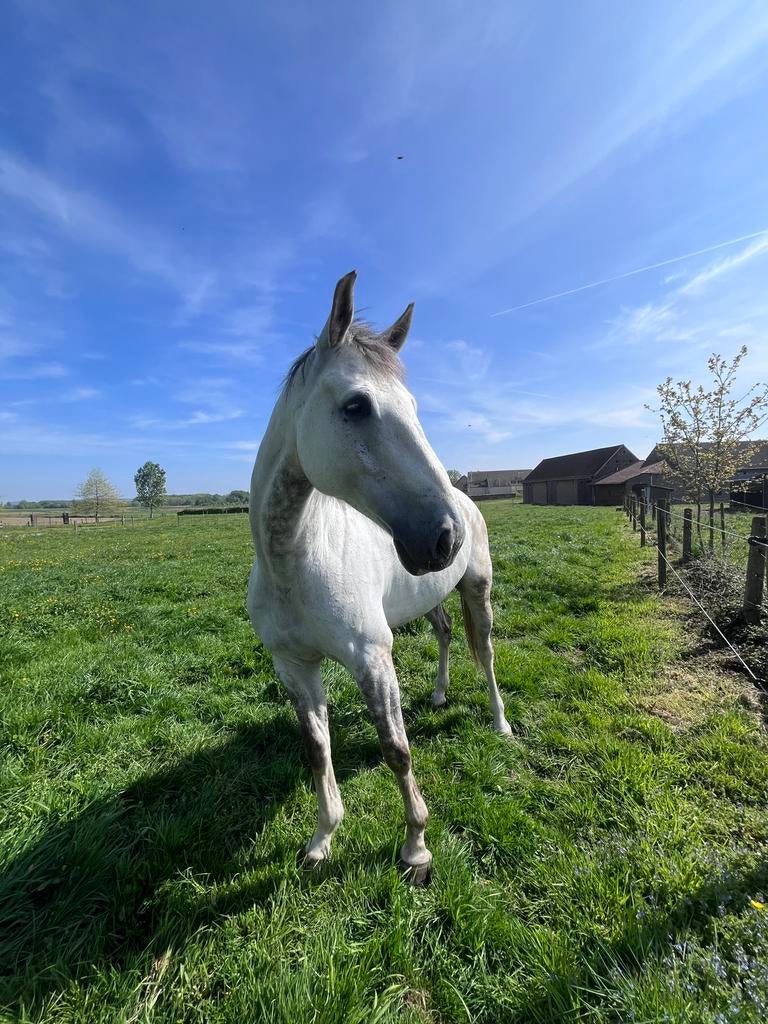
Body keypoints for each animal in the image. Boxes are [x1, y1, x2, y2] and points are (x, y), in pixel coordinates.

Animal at [247, 271, 512, 883]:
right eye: (356, 405)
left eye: (413, 406)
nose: (445, 536)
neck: (293, 562)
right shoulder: (294, 667)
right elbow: (317, 750)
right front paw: (321, 840)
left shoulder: (372, 658)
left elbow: (397, 750)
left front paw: (416, 848)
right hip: (427, 596)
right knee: (443, 634)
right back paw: (437, 695)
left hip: (477, 592)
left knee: (484, 653)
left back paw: (500, 723)